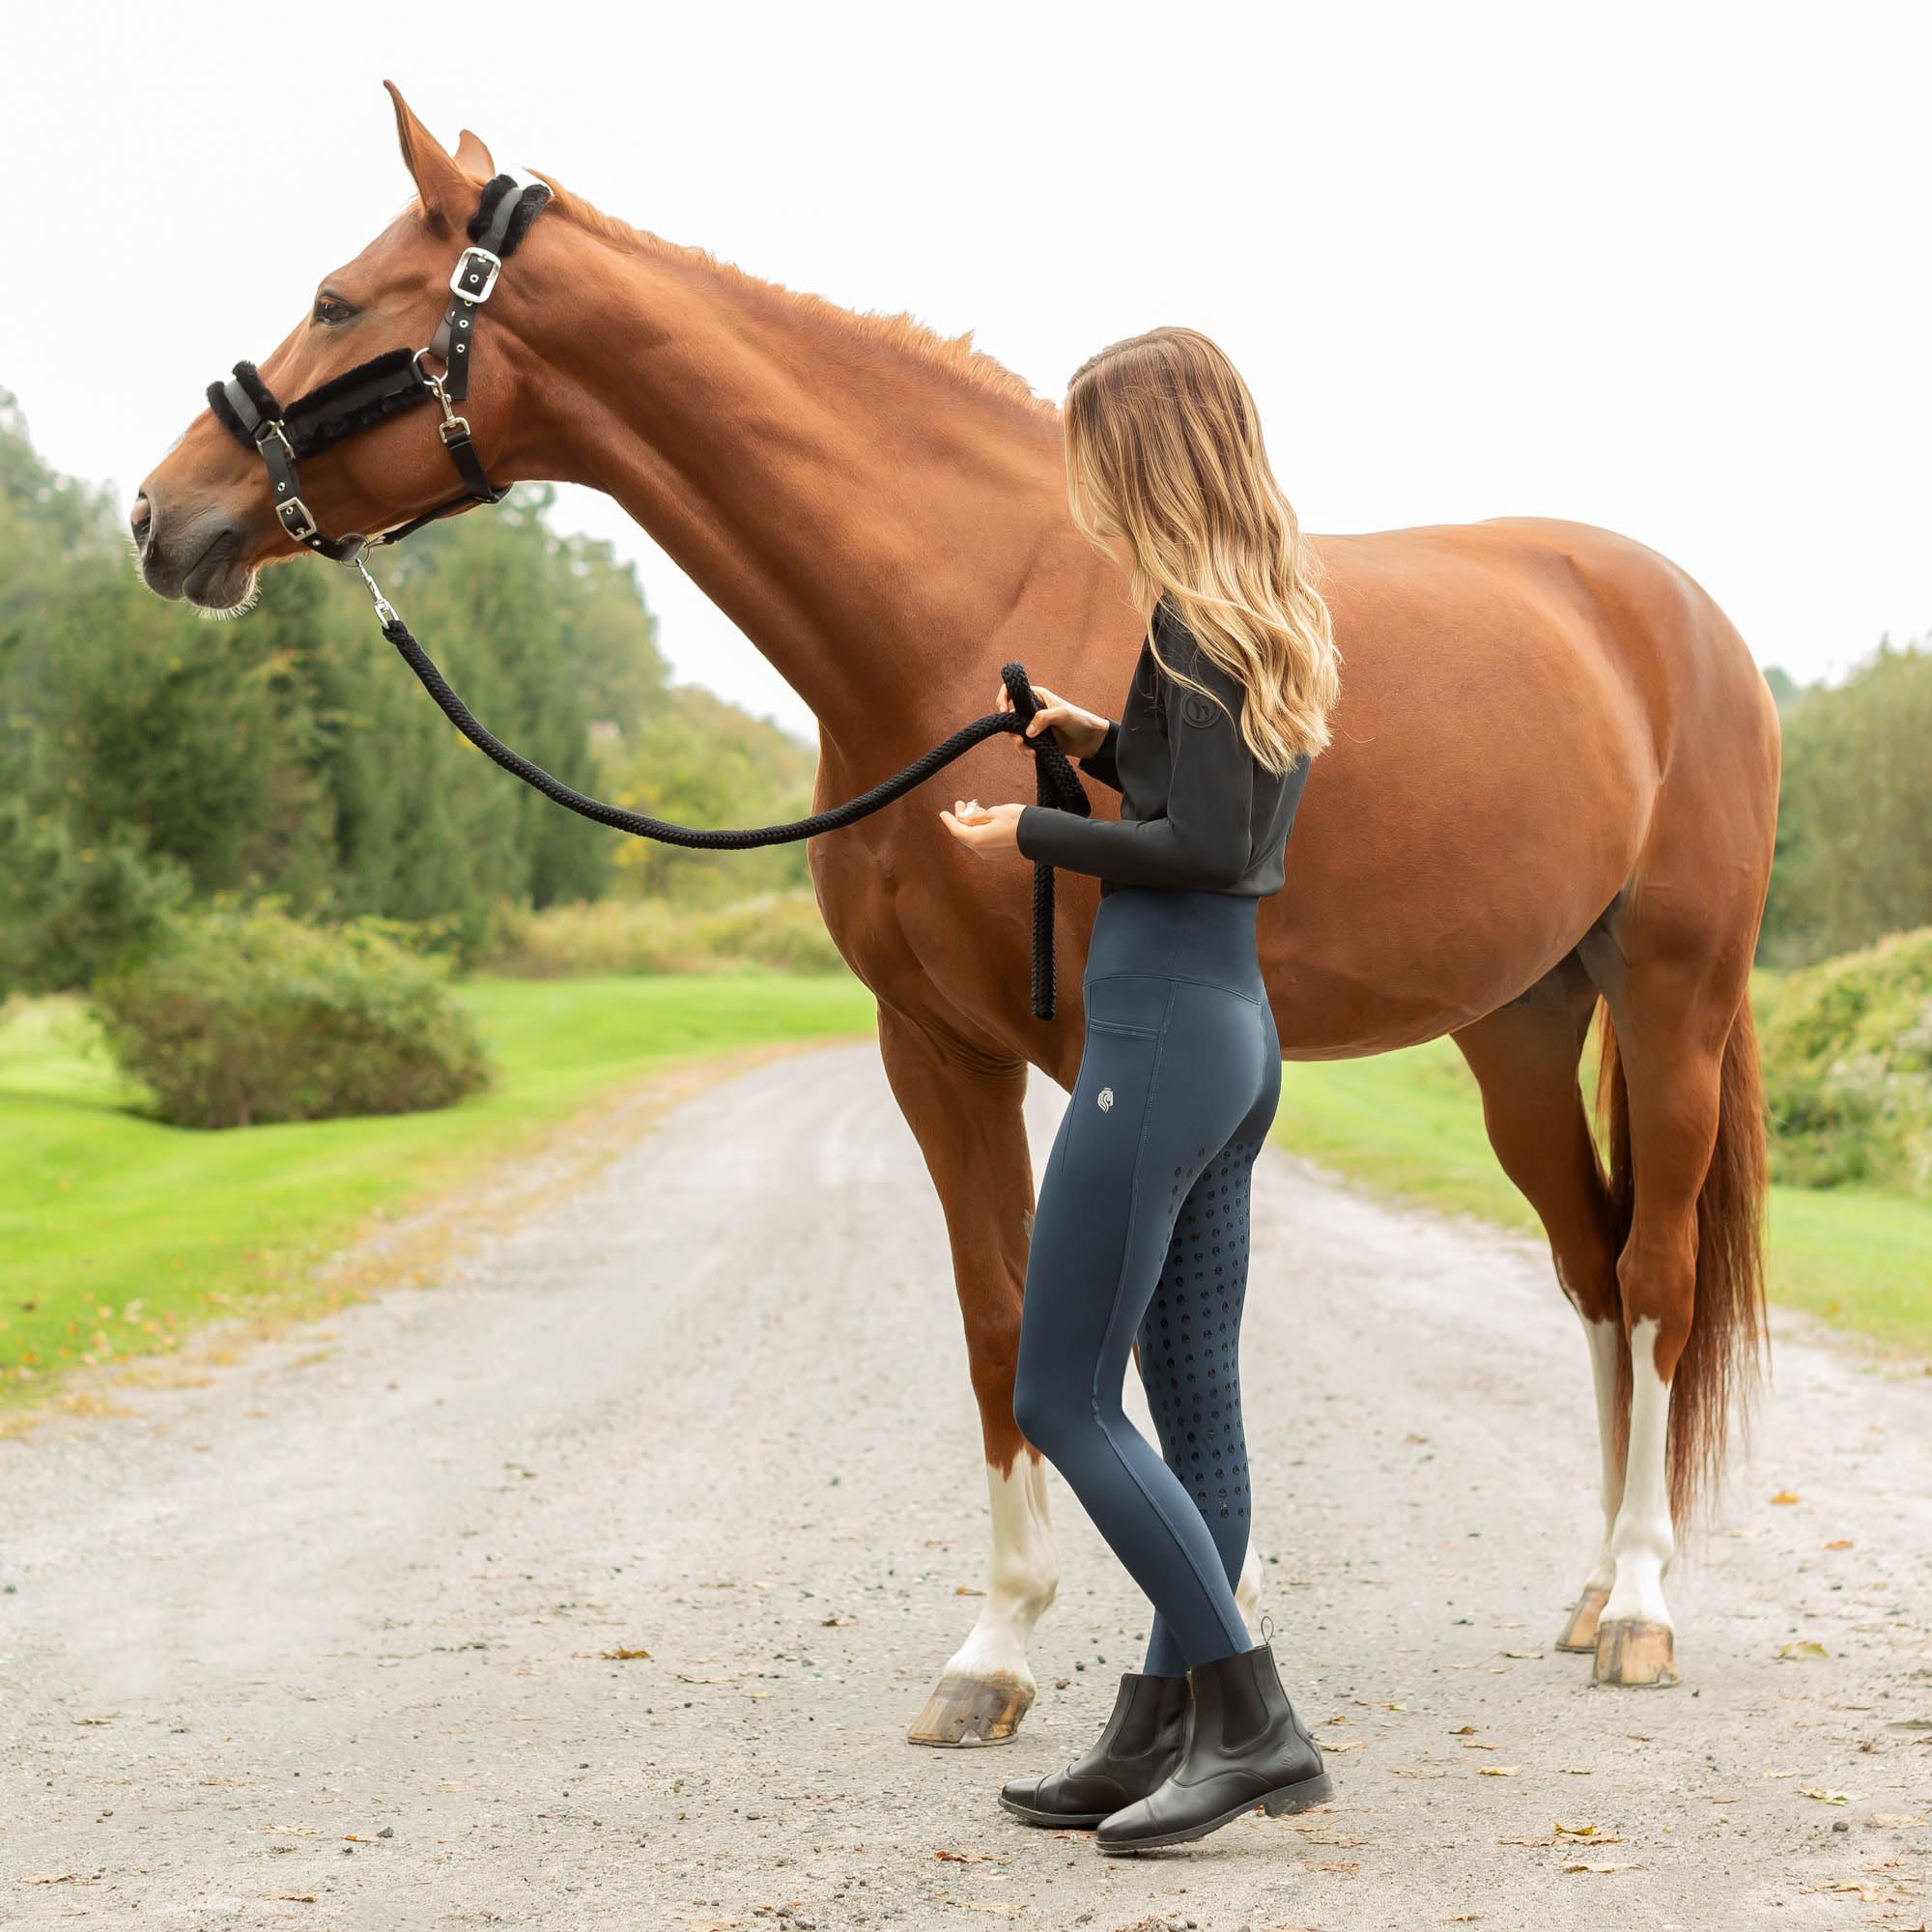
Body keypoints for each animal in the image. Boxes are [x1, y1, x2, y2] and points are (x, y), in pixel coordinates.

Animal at [131, 82, 1780, 1738]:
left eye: (338, 302)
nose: (160, 514)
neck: (954, 612)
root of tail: (1684, 618)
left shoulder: (1099, 1054)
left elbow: (1129, 1332)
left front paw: (1208, 1620)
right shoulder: (934, 1048)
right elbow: (1000, 1325)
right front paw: (996, 1651)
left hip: (1672, 1002)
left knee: (1654, 1275)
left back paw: (1643, 1608)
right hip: (1521, 1029)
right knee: (1590, 1269)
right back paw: (1590, 1592)